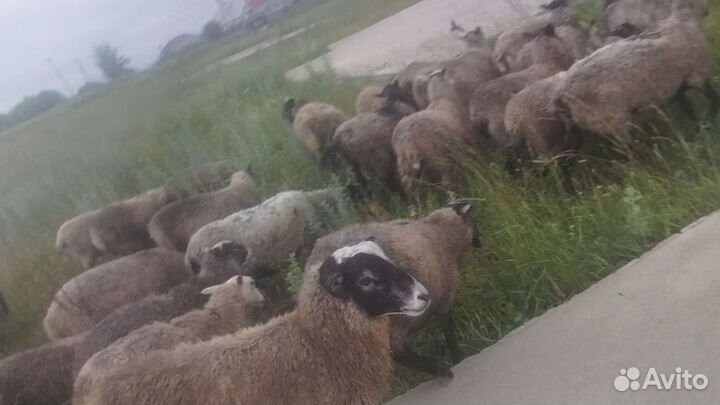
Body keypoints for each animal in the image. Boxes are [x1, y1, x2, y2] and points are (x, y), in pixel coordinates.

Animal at [305, 203, 481, 378]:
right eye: (473, 219)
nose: (480, 241)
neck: (439, 231)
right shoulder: (444, 299)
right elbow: (450, 335)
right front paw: (457, 358)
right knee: (397, 353)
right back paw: (437, 368)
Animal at [555, 0, 719, 150]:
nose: (707, 11)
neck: (684, 18)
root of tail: (562, 93)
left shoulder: (678, 85)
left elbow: (688, 107)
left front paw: (698, 127)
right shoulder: (697, 76)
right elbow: (713, 98)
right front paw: (708, 123)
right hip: (611, 121)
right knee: (628, 150)